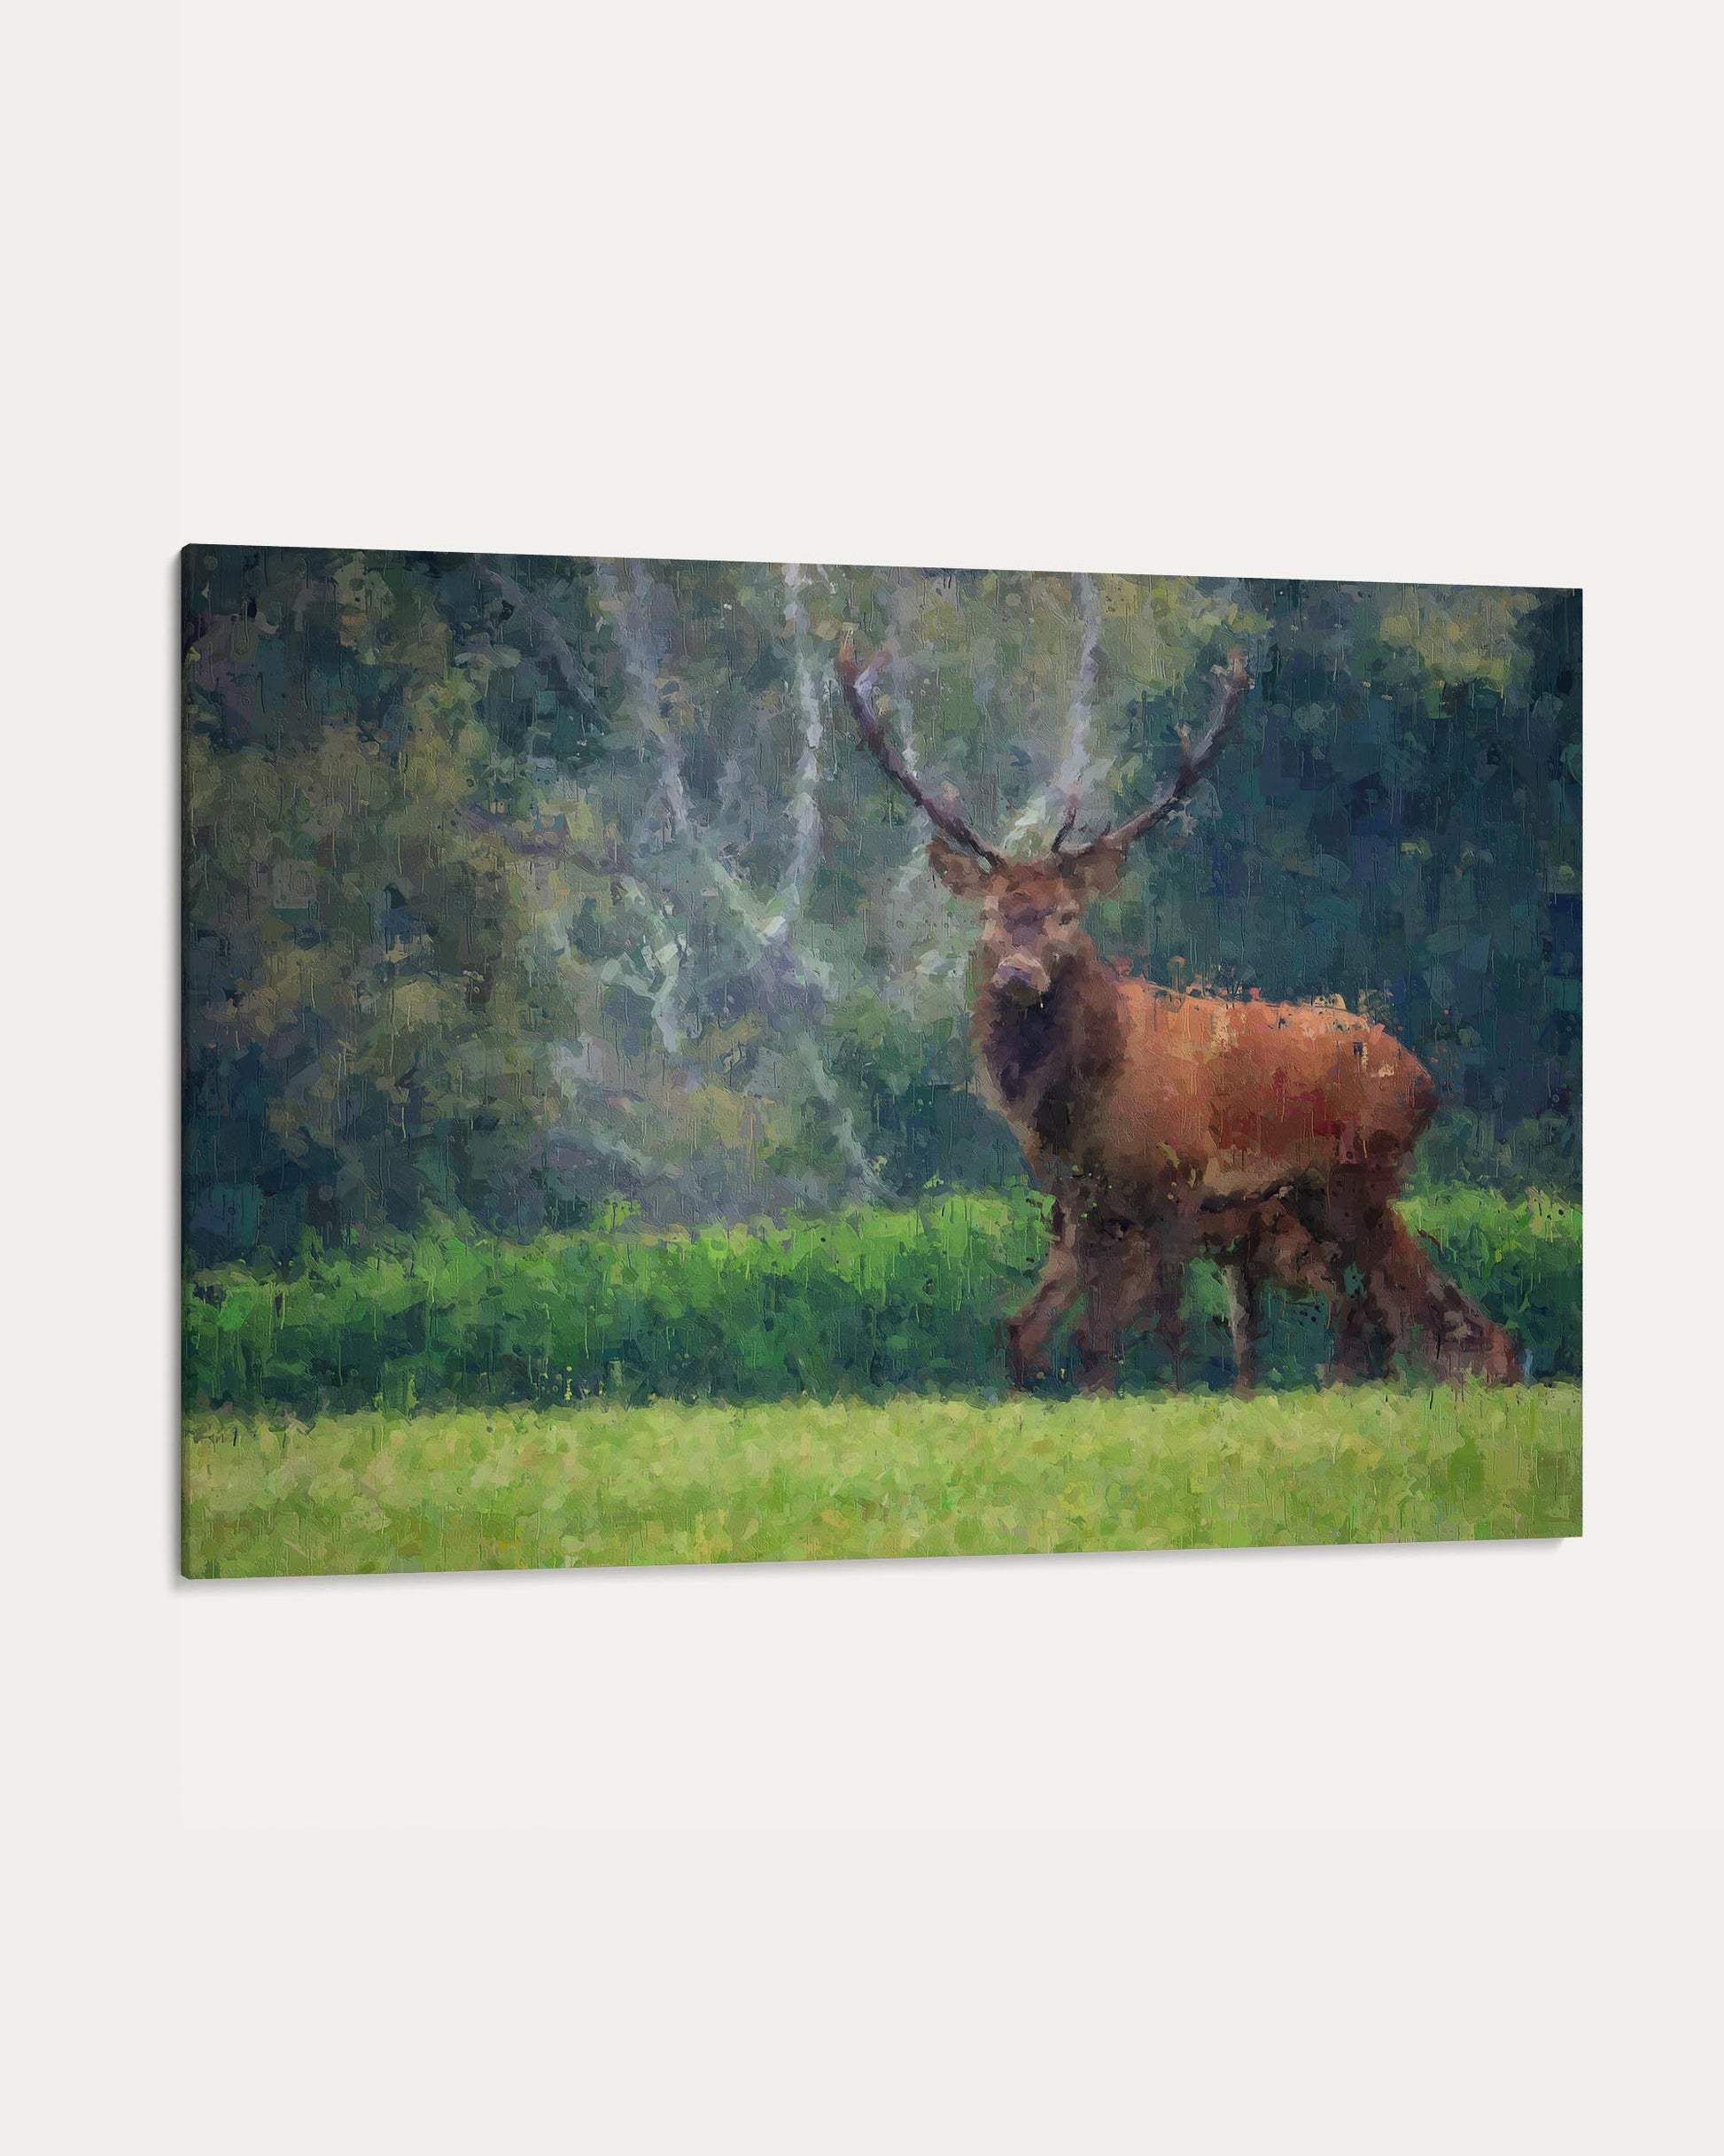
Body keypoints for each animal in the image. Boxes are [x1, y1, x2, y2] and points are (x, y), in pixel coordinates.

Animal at [836, 639, 1523, 1395]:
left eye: (1066, 914)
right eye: (988, 914)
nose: (1017, 976)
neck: (1084, 1101)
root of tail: (1429, 1082)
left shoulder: (1178, 1184)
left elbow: (1166, 1328)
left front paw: (1172, 1396)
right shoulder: (1078, 1200)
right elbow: (1065, 1334)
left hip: (1358, 1176)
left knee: (1405, 1310)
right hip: (1319, 1198)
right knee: (1397, 1311)